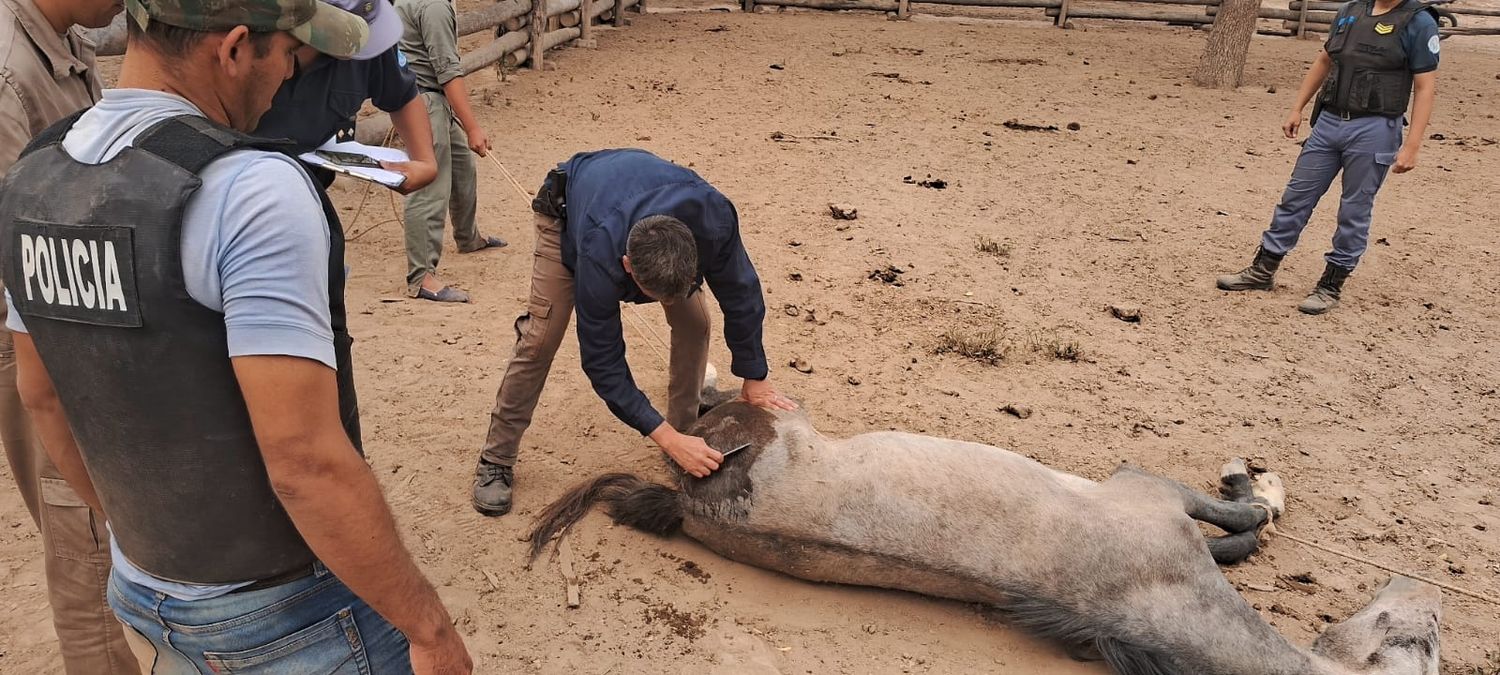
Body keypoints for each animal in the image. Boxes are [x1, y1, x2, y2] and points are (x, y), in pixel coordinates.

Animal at [528, 399, 1440, 672]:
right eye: (1418, 635)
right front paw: (1258, 484)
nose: (1423, 588)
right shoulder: (1145, 491)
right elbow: (1240, 521)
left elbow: (1233, 543)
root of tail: (690, 496)